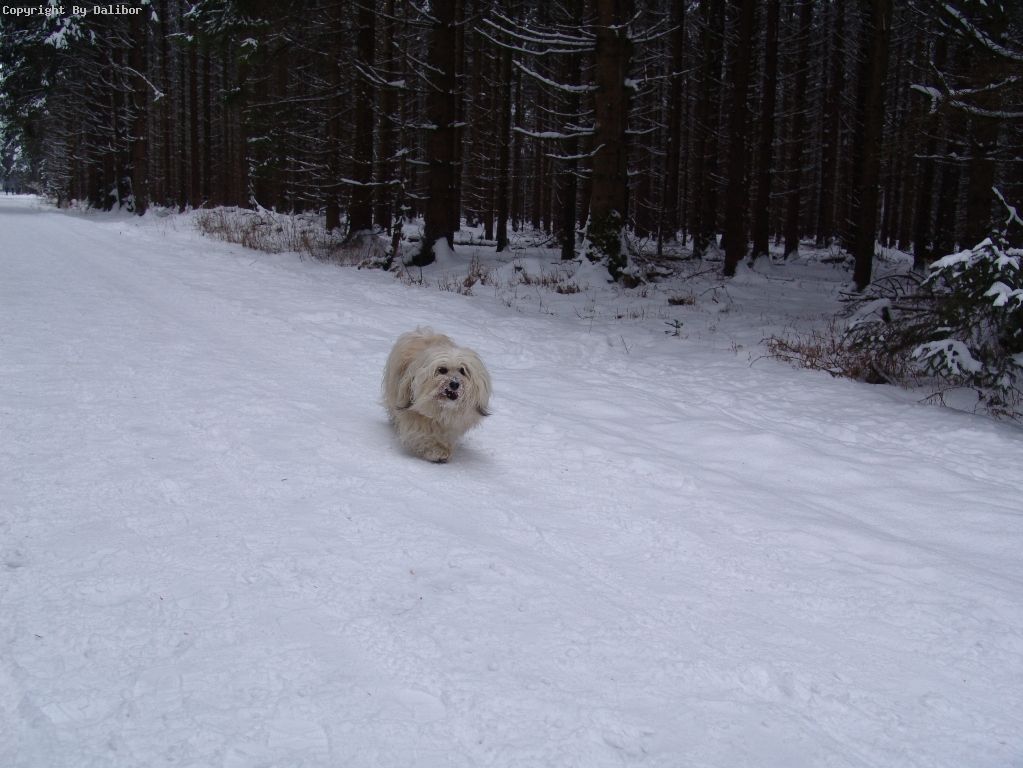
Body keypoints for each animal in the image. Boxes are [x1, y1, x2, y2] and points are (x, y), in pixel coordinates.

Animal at [382, 328, 492, 462]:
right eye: (442, 370)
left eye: (462, 370)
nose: (454, 384)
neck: (442, 409)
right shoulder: (415, 418)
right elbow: (423, 435)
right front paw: (437, 451)